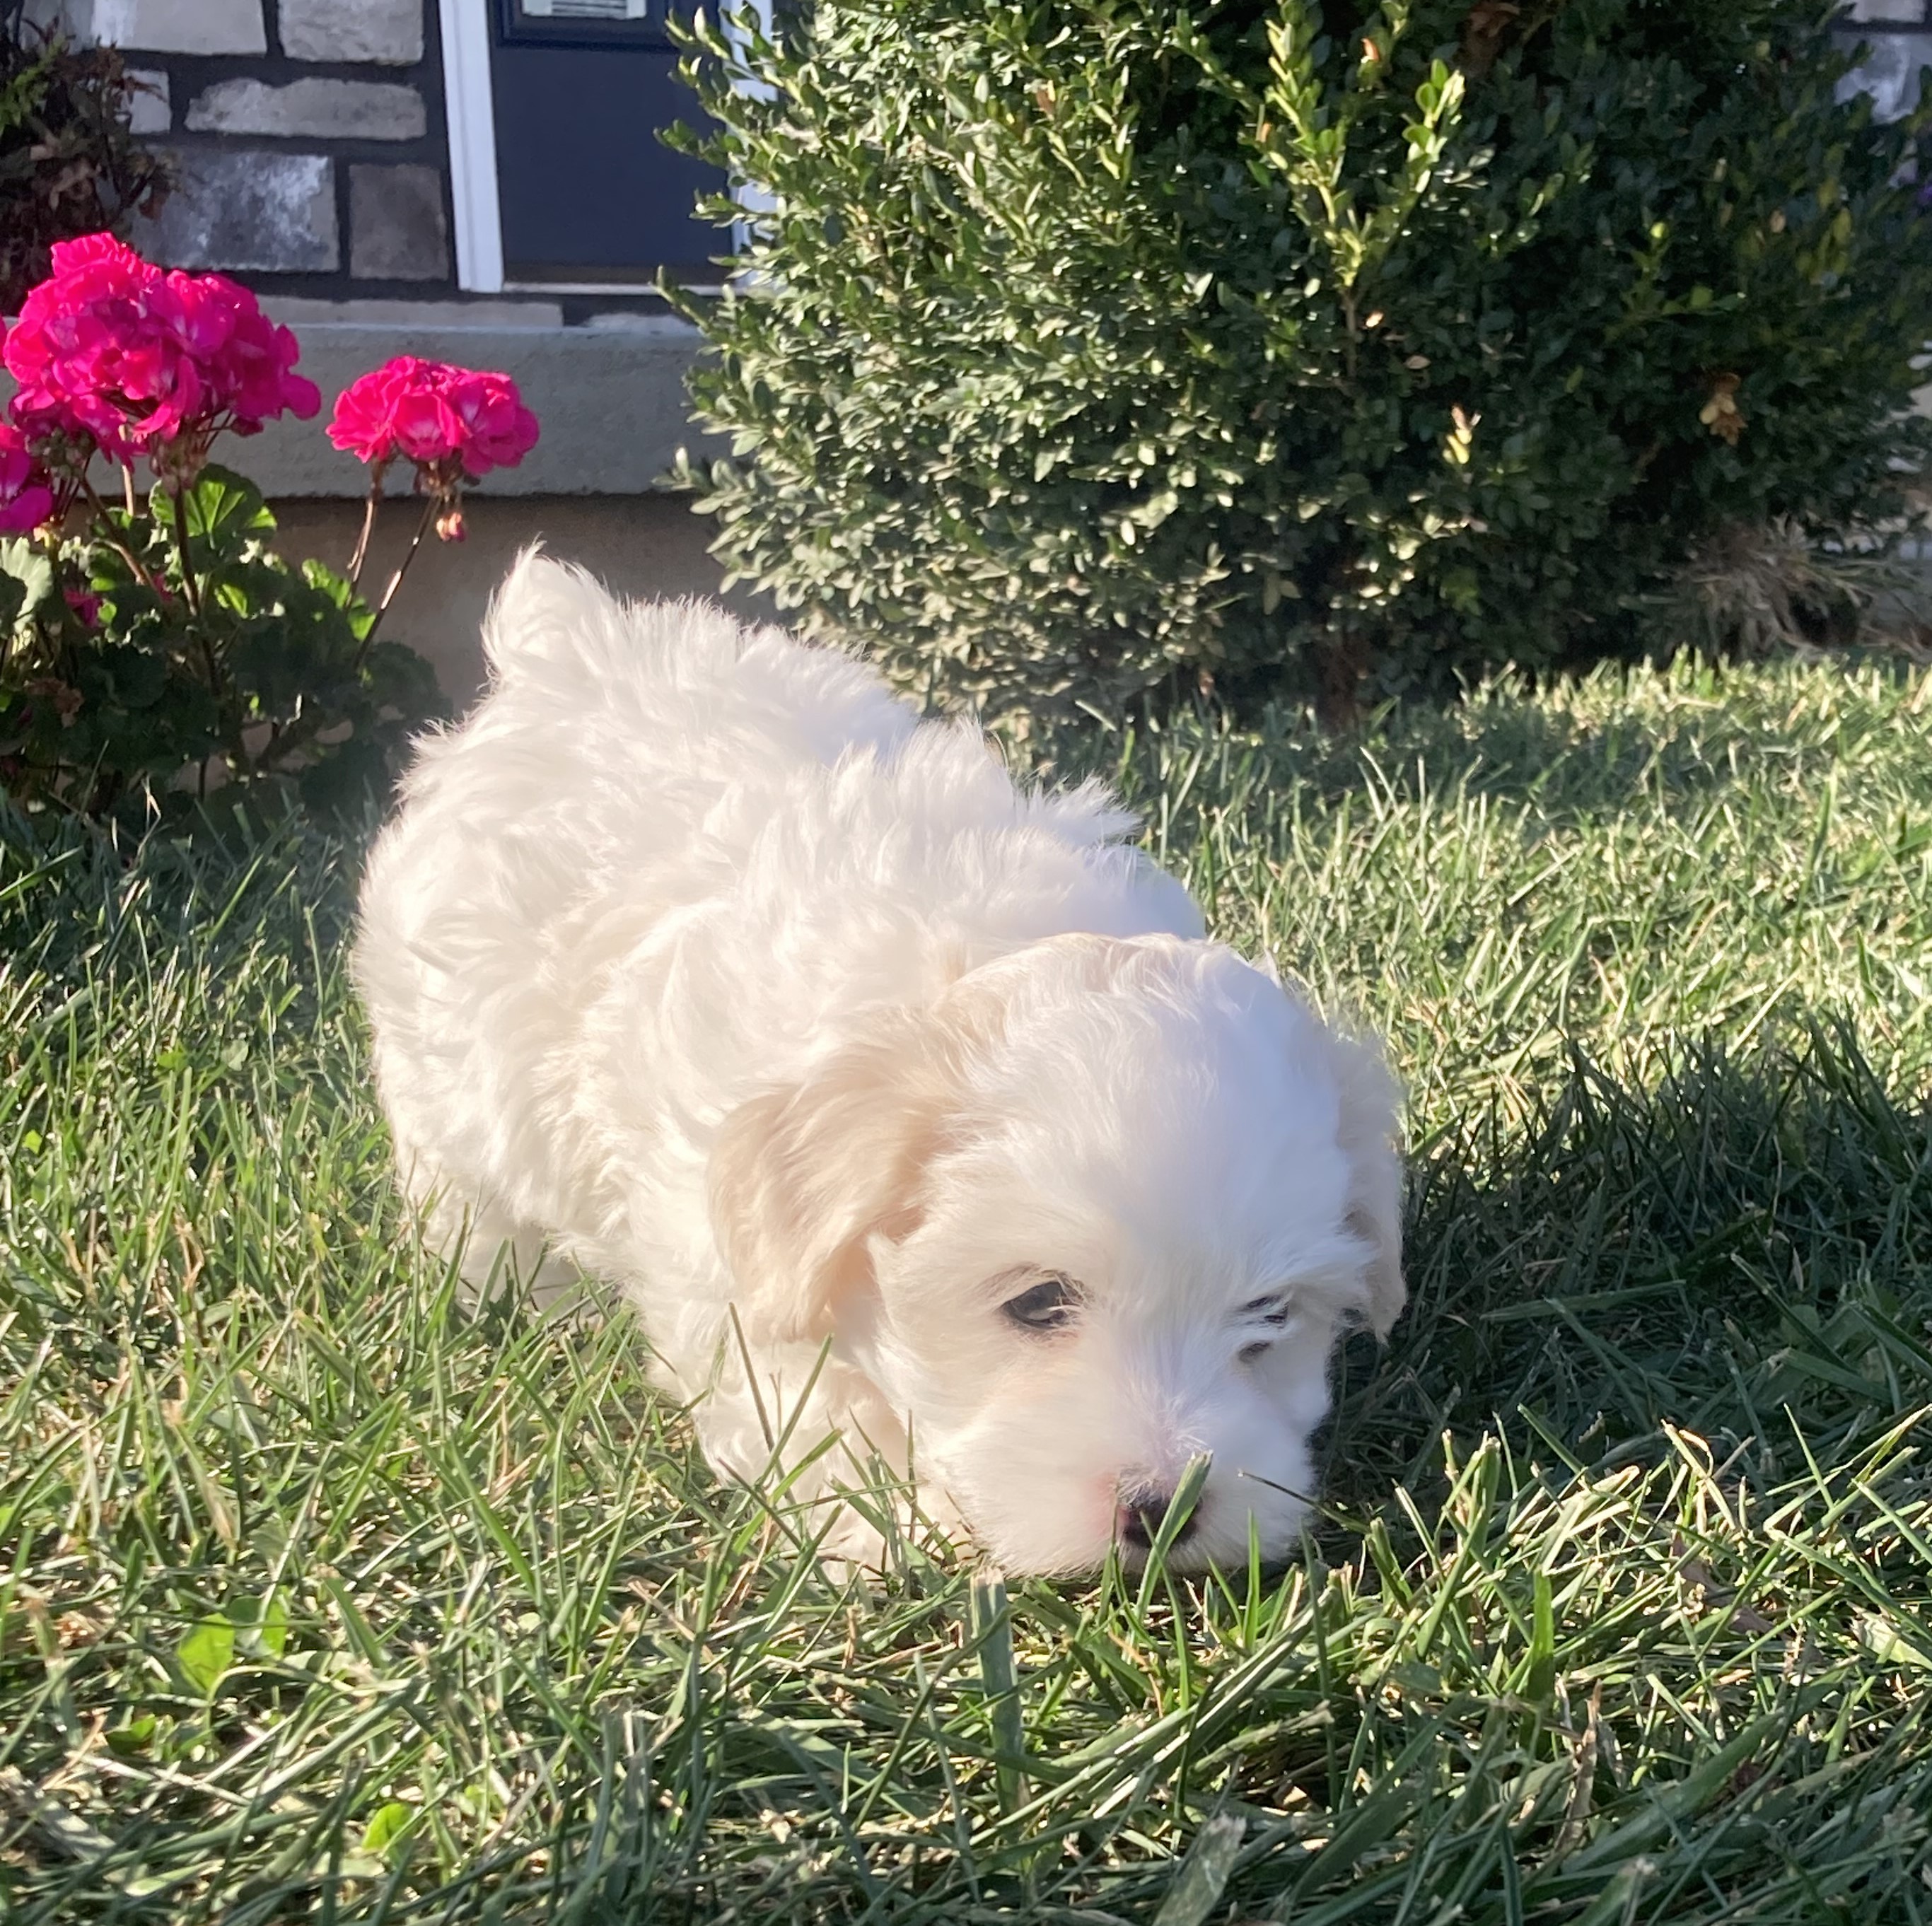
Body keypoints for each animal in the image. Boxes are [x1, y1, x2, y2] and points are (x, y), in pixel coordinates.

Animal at [351, 556, 1406, 1576]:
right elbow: (803, 1406)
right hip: (444, 1072)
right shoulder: (728, 1276)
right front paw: (910, 1533)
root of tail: (566, 649)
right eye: (1036, 1302)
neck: (962, 966)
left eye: (1269, 1314)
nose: (1168, 1507)